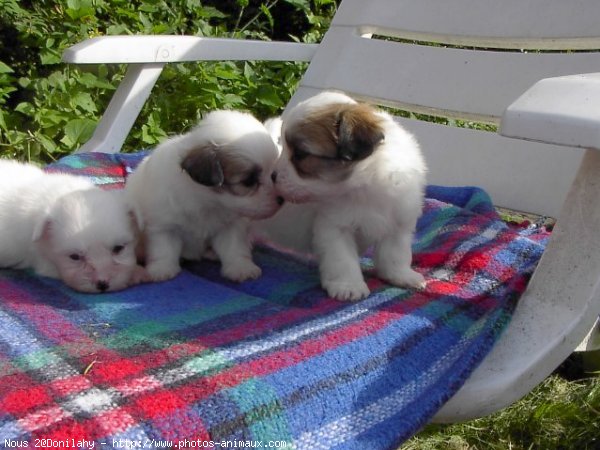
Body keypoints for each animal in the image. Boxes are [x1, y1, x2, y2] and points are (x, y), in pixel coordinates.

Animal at [124, 109, 284, 284]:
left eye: (273, 175)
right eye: (248, 181)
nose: (281, 199)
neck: (208, 202)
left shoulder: (230, 226)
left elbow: (234, 248)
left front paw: (241, 268)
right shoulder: (163, 226)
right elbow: (163, 249)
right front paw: (162, 270)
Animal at [258, 90, 426, 302]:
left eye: (300, 154)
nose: (273, 176)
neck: (366, 182)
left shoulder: (399, 219)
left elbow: (396, 252)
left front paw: (400, 275)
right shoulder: (335, 227)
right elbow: (342, 259)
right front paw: (348, 285)